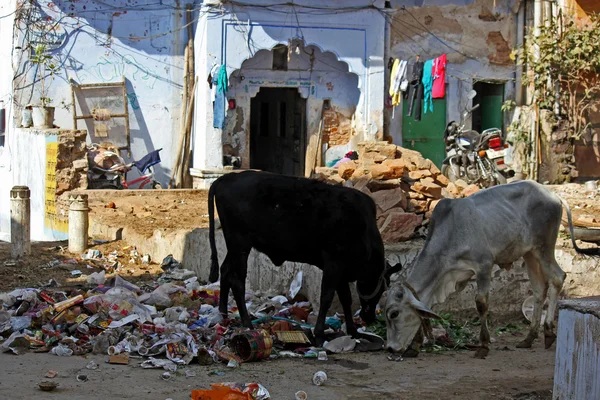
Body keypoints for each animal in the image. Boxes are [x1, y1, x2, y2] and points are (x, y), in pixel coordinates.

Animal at [206, 170, 394, 344]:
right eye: (382, 288)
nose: (369, 317)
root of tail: (228, 177)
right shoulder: (333, 264)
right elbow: (326, 298)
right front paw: (319, 335)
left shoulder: (341, 270)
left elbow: (346, 299)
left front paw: (353, 331)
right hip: (240, 244)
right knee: (237, 281)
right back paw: (247, 323)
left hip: (235, 247)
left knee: (225, 271)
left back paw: (223, 313)